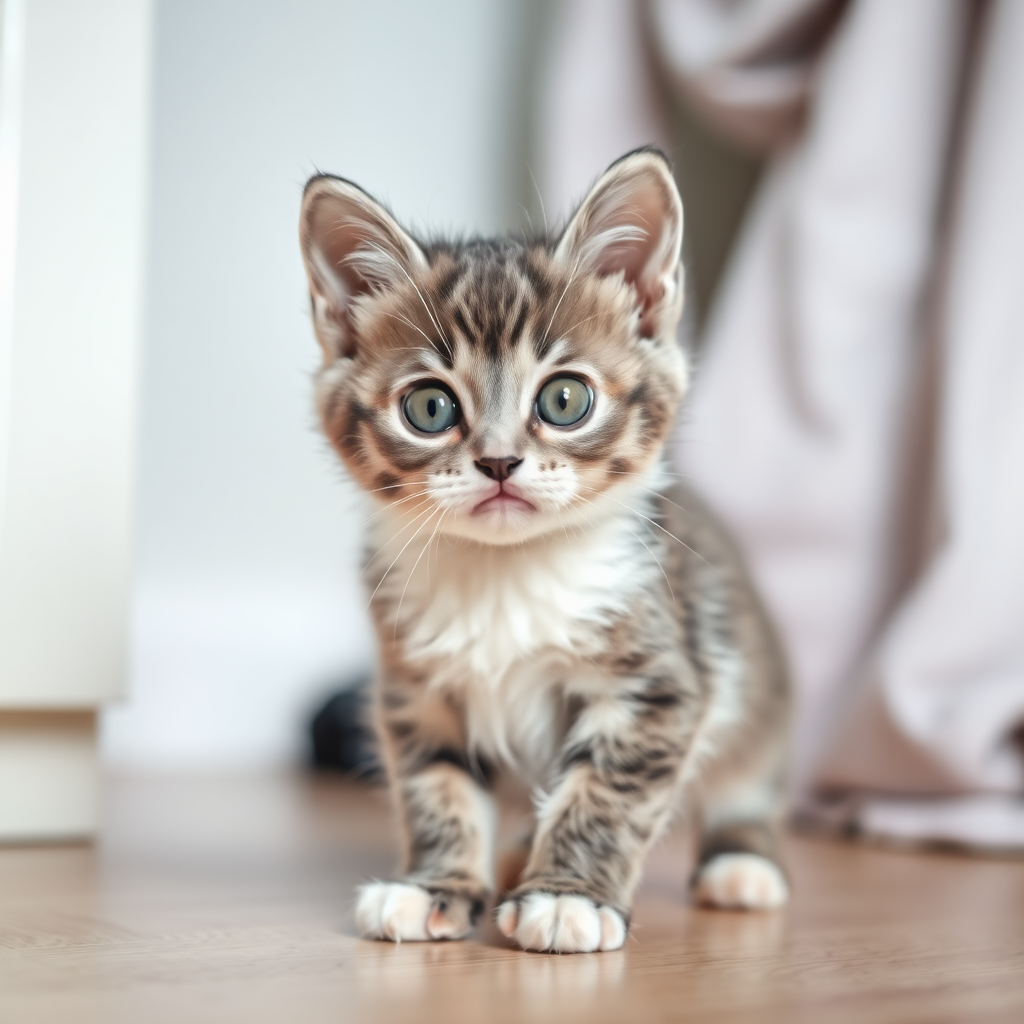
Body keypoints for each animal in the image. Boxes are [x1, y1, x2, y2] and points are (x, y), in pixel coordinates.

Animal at [296, 149, 790, 950]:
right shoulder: (414, 688)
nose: (499, 462)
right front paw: (436, 885)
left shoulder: (660, 683)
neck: (506, 574)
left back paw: (741, 865)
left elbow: (606, 790)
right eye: (429, 408)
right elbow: (436, 783)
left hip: (753, 678)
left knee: (746, 786)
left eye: (564, 400)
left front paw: (567, 897)